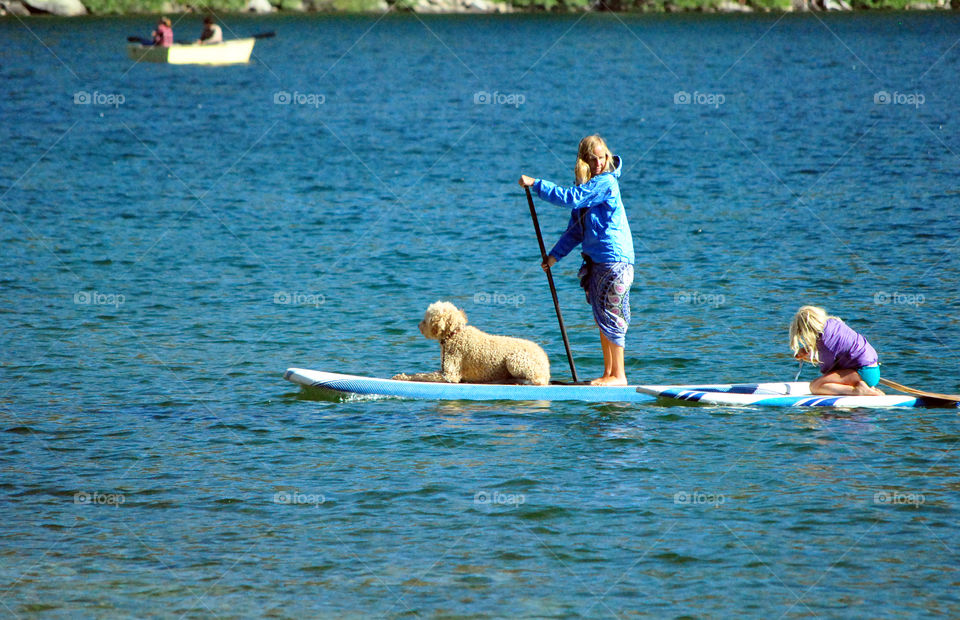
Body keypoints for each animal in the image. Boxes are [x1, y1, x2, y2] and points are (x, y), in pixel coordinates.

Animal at [392, 300, 548, 382]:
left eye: (425, 319)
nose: (418, 326)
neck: (454, 335)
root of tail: (546, 362)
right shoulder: (443, 369)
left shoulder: (450, 374)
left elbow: (423, 376)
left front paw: (402, 377)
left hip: (515, 361)